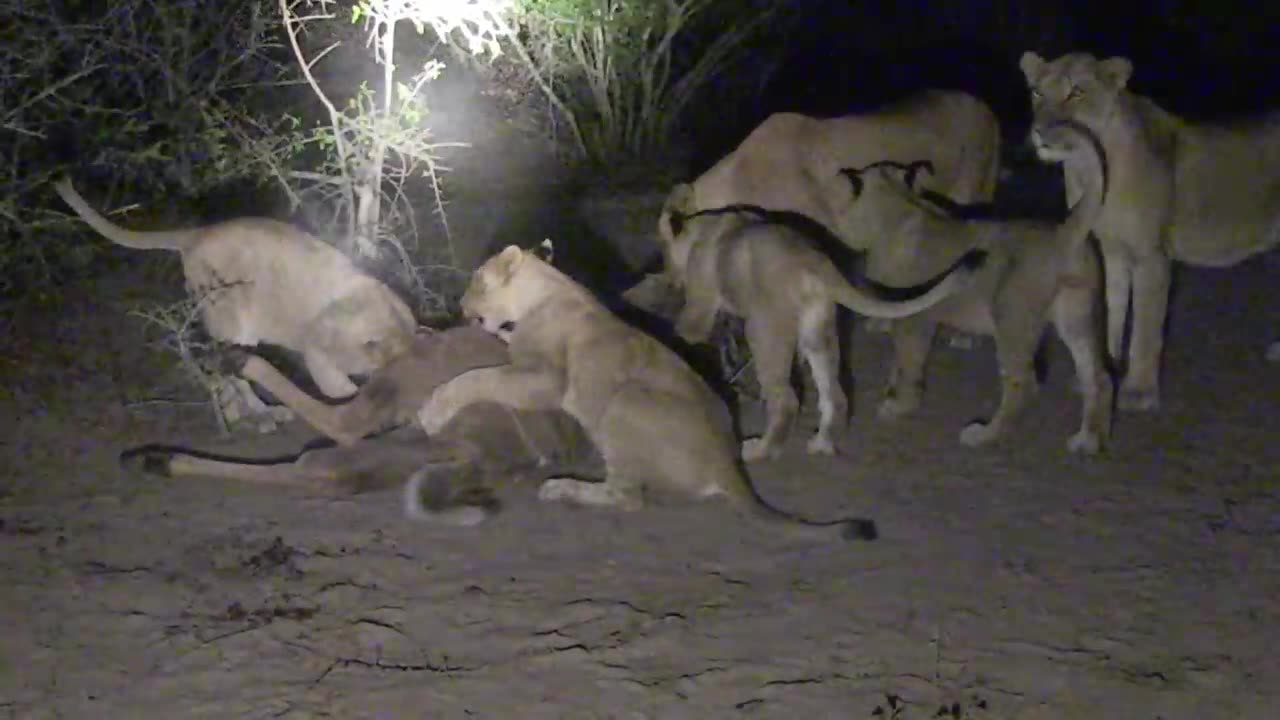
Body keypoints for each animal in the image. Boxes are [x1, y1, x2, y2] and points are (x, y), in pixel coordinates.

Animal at [53, 176, 414, 427]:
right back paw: (262, 415)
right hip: (231, 322)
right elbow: (340, 392)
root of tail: (196, 234)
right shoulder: (316, 348)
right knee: (234, 374)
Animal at [120, 322, 604, 525]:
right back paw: (155, 459)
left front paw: (233, 358)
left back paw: (161, 456)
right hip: (413, 444)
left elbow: (338, 420)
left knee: (321, 455)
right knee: (337, 470)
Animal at [419, 240, 880, 538]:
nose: (459, 306)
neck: (543, 290)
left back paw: (563, 488)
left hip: (624, 402)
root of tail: (728, 465)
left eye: (477, 282)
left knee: (627, 498)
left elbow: (480, 377)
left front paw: (432, 411)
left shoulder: (547, 379)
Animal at [829, 120, 1111, 450]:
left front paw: (900, 406)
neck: (901, 207)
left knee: (1024, 384)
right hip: (1077, 321)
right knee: (1100, 377)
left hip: (1012, 319)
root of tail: (1066, 231)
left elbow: (909, 363)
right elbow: (898, 362)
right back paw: (1089, 440)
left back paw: (985, 434)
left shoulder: (915, 320)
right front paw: (892, 393)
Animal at [1018, 50, 1280, 409]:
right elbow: (1113, 311)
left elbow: (1144, 327)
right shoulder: (1112, 252)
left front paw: (1139, 391)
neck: (1086, 167)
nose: (1041, 132)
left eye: (1076, 92)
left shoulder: (1151, 257)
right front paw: (1105, 368)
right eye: (1037, 93)